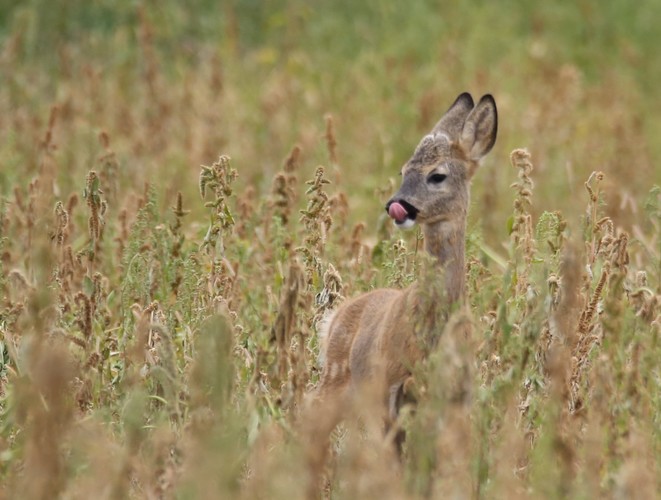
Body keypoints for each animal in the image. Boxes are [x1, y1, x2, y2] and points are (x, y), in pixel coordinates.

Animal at [302, 93, 498, 480]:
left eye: (437, 175)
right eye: (403, 170)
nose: (398, 205)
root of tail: (337, 315)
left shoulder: (457, 395)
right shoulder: (388, 388)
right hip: (337, 378)